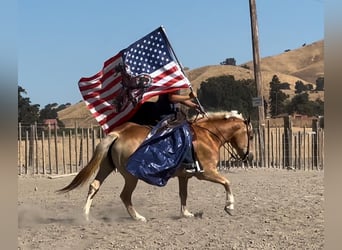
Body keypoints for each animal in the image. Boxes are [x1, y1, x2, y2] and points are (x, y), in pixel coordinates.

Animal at [57, 112, 252, 222]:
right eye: (250, 134)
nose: (248, 155)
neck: (208, 135)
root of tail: (119, 133)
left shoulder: (184, 176)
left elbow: (183, 194)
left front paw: (186, 213)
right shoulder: (207, 172)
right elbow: (227, 183)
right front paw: (229, 207)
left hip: (106, 168)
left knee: (94, 186)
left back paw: (85, 216)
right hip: (131, 177)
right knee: (125, 195)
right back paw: (138, 217)